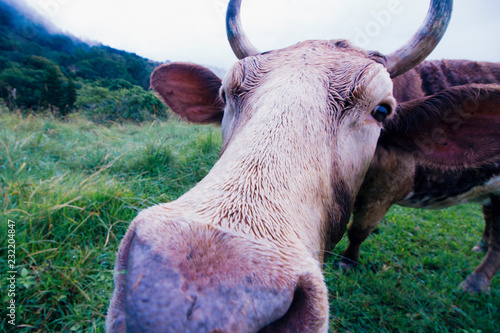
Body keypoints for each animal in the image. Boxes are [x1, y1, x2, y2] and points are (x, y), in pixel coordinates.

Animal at [106, 0, 500, 330]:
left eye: (381, 110)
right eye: (225, 93)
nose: (173, 301)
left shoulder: (389, 185)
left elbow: (360, 229)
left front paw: (348, 261)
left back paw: (475, 282)